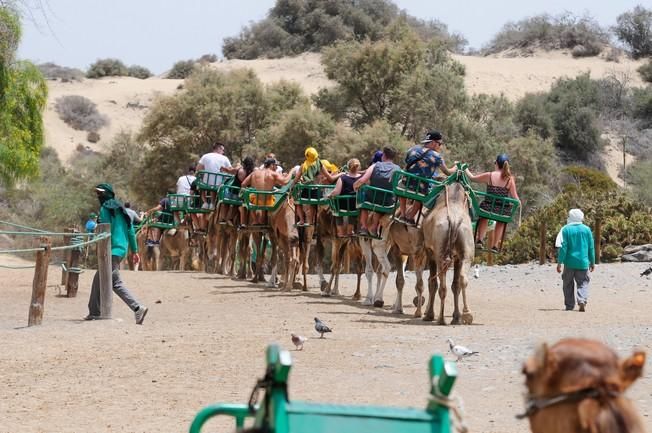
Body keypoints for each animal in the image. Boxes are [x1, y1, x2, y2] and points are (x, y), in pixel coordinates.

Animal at [422, 181, 474, 324]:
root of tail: (455, 221)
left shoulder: (430, 252)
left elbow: (432, 283)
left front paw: (429, 315)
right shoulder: (457, 258)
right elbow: (455, 285)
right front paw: (456, 317)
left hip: (440, 255)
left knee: (442, 286)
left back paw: (440, 319)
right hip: (466, 252)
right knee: (462, 279)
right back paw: (467, 314)